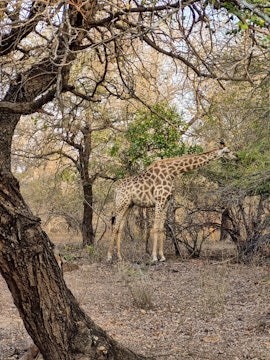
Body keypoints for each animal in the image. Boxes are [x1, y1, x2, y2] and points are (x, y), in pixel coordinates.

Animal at [106, 142, 237, 262]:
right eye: (227, 151)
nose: (236, 157)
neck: (172, 172)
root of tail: (116, 190)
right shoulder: (160, 200)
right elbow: (156, 227)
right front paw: (154, 257)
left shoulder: (166, 202)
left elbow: (161, 228)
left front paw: (162, 257)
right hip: (121, 204)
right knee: (115, 226)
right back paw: (109, 257)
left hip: (129, 205)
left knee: (120, 227)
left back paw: (120, 257)